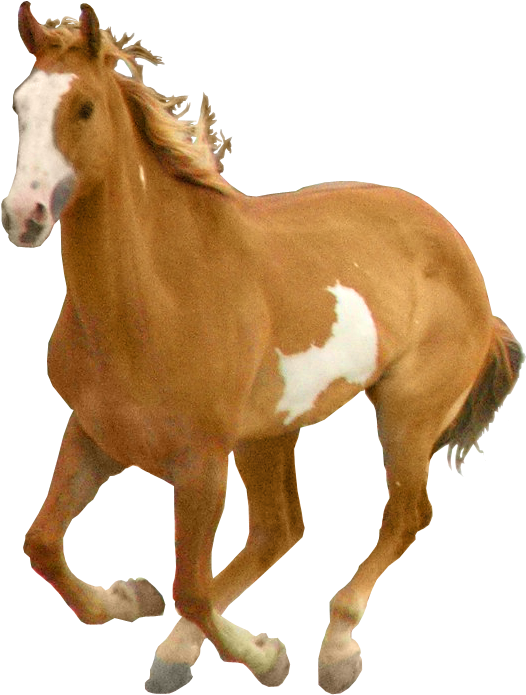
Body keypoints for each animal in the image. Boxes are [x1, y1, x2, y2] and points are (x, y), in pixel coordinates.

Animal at [4, 3, 523, 694]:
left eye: (84, 108)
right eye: (19, 106)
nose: (23, 216)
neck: (158, 298)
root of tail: (467, 267)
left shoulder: (201, 463)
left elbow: (192, 587)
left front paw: (267, 657)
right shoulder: (94, 434)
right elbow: (43, 544)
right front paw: (130, 598)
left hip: (405, 416)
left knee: (404, 515)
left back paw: (336, 647)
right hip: (271, 431)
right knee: (281, 528)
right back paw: (179, 651)